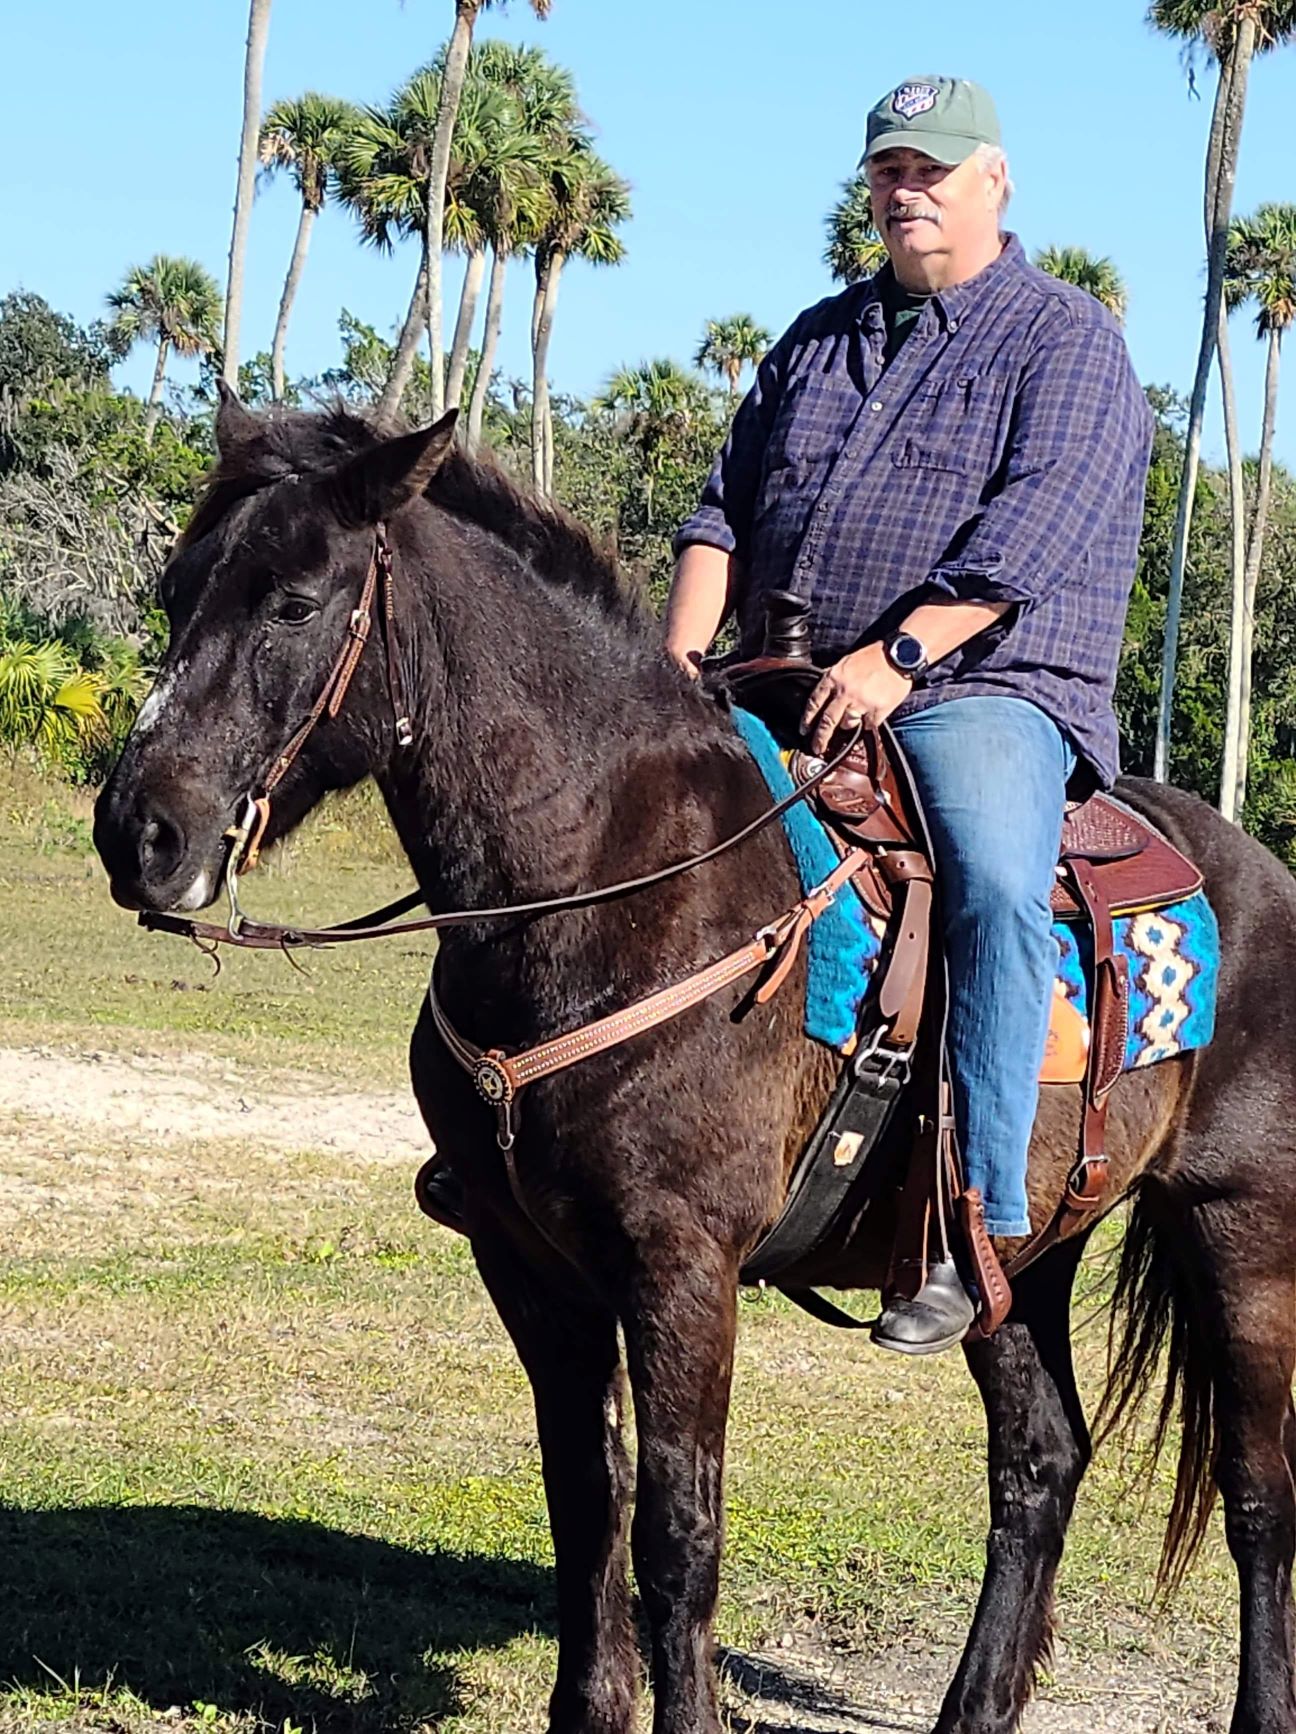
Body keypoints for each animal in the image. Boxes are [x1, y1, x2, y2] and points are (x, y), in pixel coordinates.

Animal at [96, 393, 1296, 1734]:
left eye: (297, 605)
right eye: (175, 590)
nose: (140, 836)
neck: (609, 879)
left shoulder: (682, 1265)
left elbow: (679, 1529)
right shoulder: (530, 1265)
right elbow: (587, 1500)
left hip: (1240, 1231)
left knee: (1258, 1493)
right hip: (1015, 1258)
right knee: (1040, 1462)